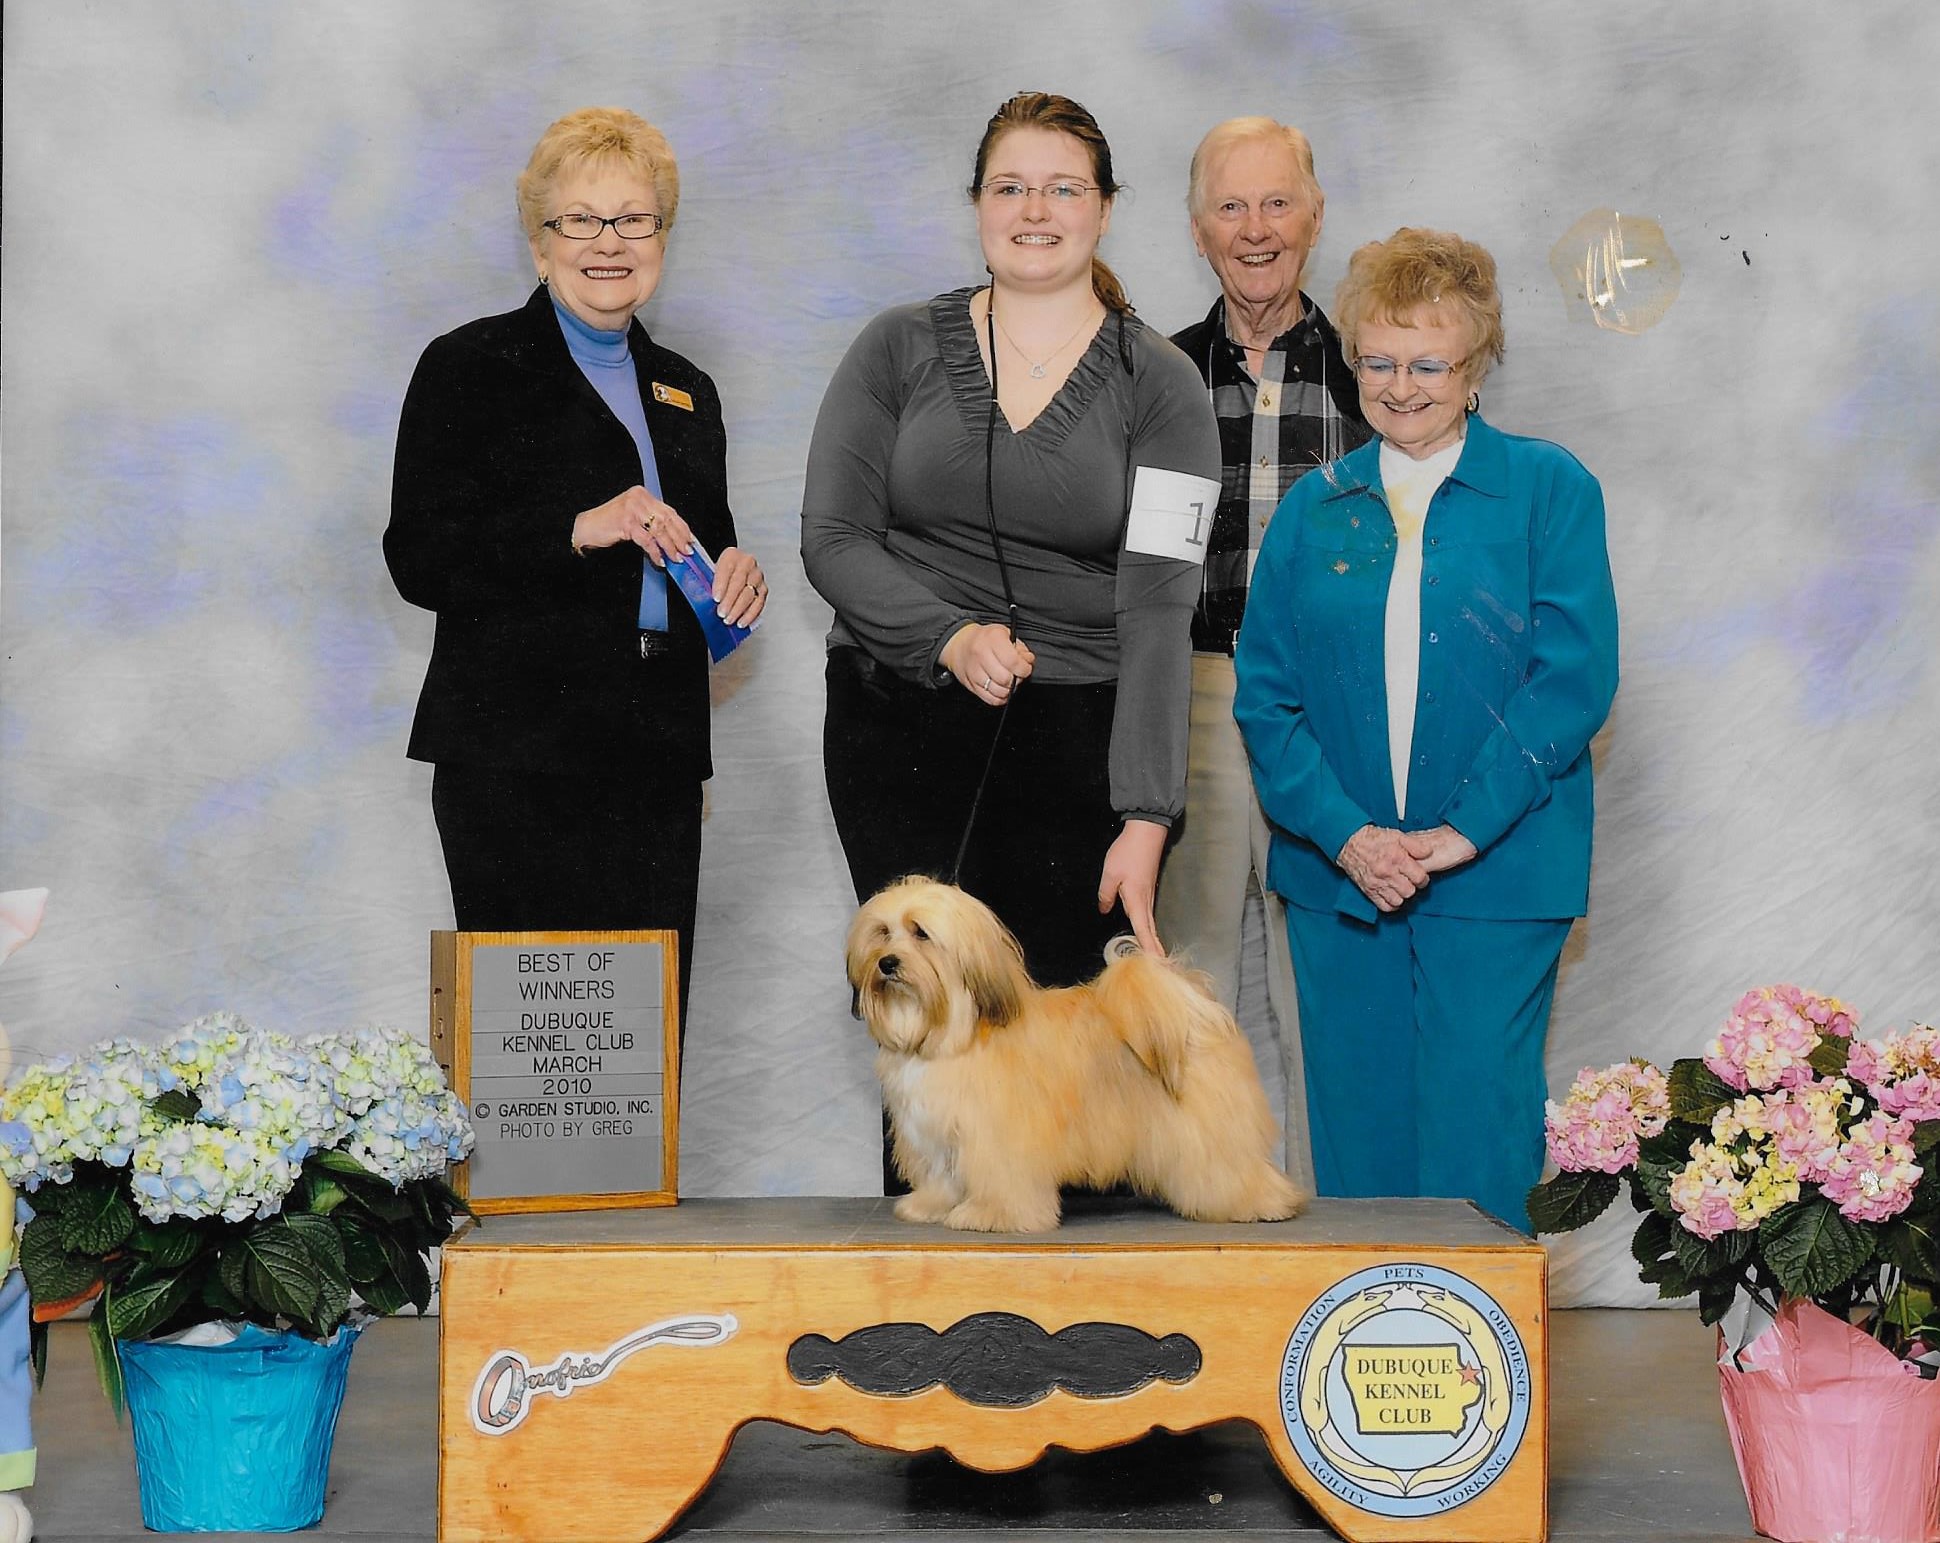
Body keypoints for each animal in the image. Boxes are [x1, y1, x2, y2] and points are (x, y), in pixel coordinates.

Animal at [845, 881, 1311, 1234]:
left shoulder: (998, 1135)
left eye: (920, 933)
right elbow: (942, 1174)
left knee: (1232, 1163)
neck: (951, 1033)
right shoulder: (934, 1132)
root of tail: (1191, 1006)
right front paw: (931, 1205)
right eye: (882, 932)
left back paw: (1261, 1203)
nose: (887, 963)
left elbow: (1002, 1177)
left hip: (1209, 1126)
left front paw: (993, 1215)